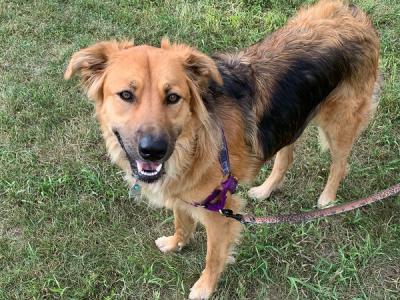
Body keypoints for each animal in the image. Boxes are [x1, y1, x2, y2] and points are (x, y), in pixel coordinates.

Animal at [65, 0, 378, 298]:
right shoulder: (184, 196)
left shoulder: (220, 211)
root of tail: (350, 12)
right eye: (126, 95)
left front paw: (205, 287)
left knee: (340, 163)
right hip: (291, 120)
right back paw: (266, 189)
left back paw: (327, 198)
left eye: (173, 97)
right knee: (286, 156)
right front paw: (176, 243)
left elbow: (213, 256)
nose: (153, 151)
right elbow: (181, 222)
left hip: (340, 123)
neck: (193, 144)